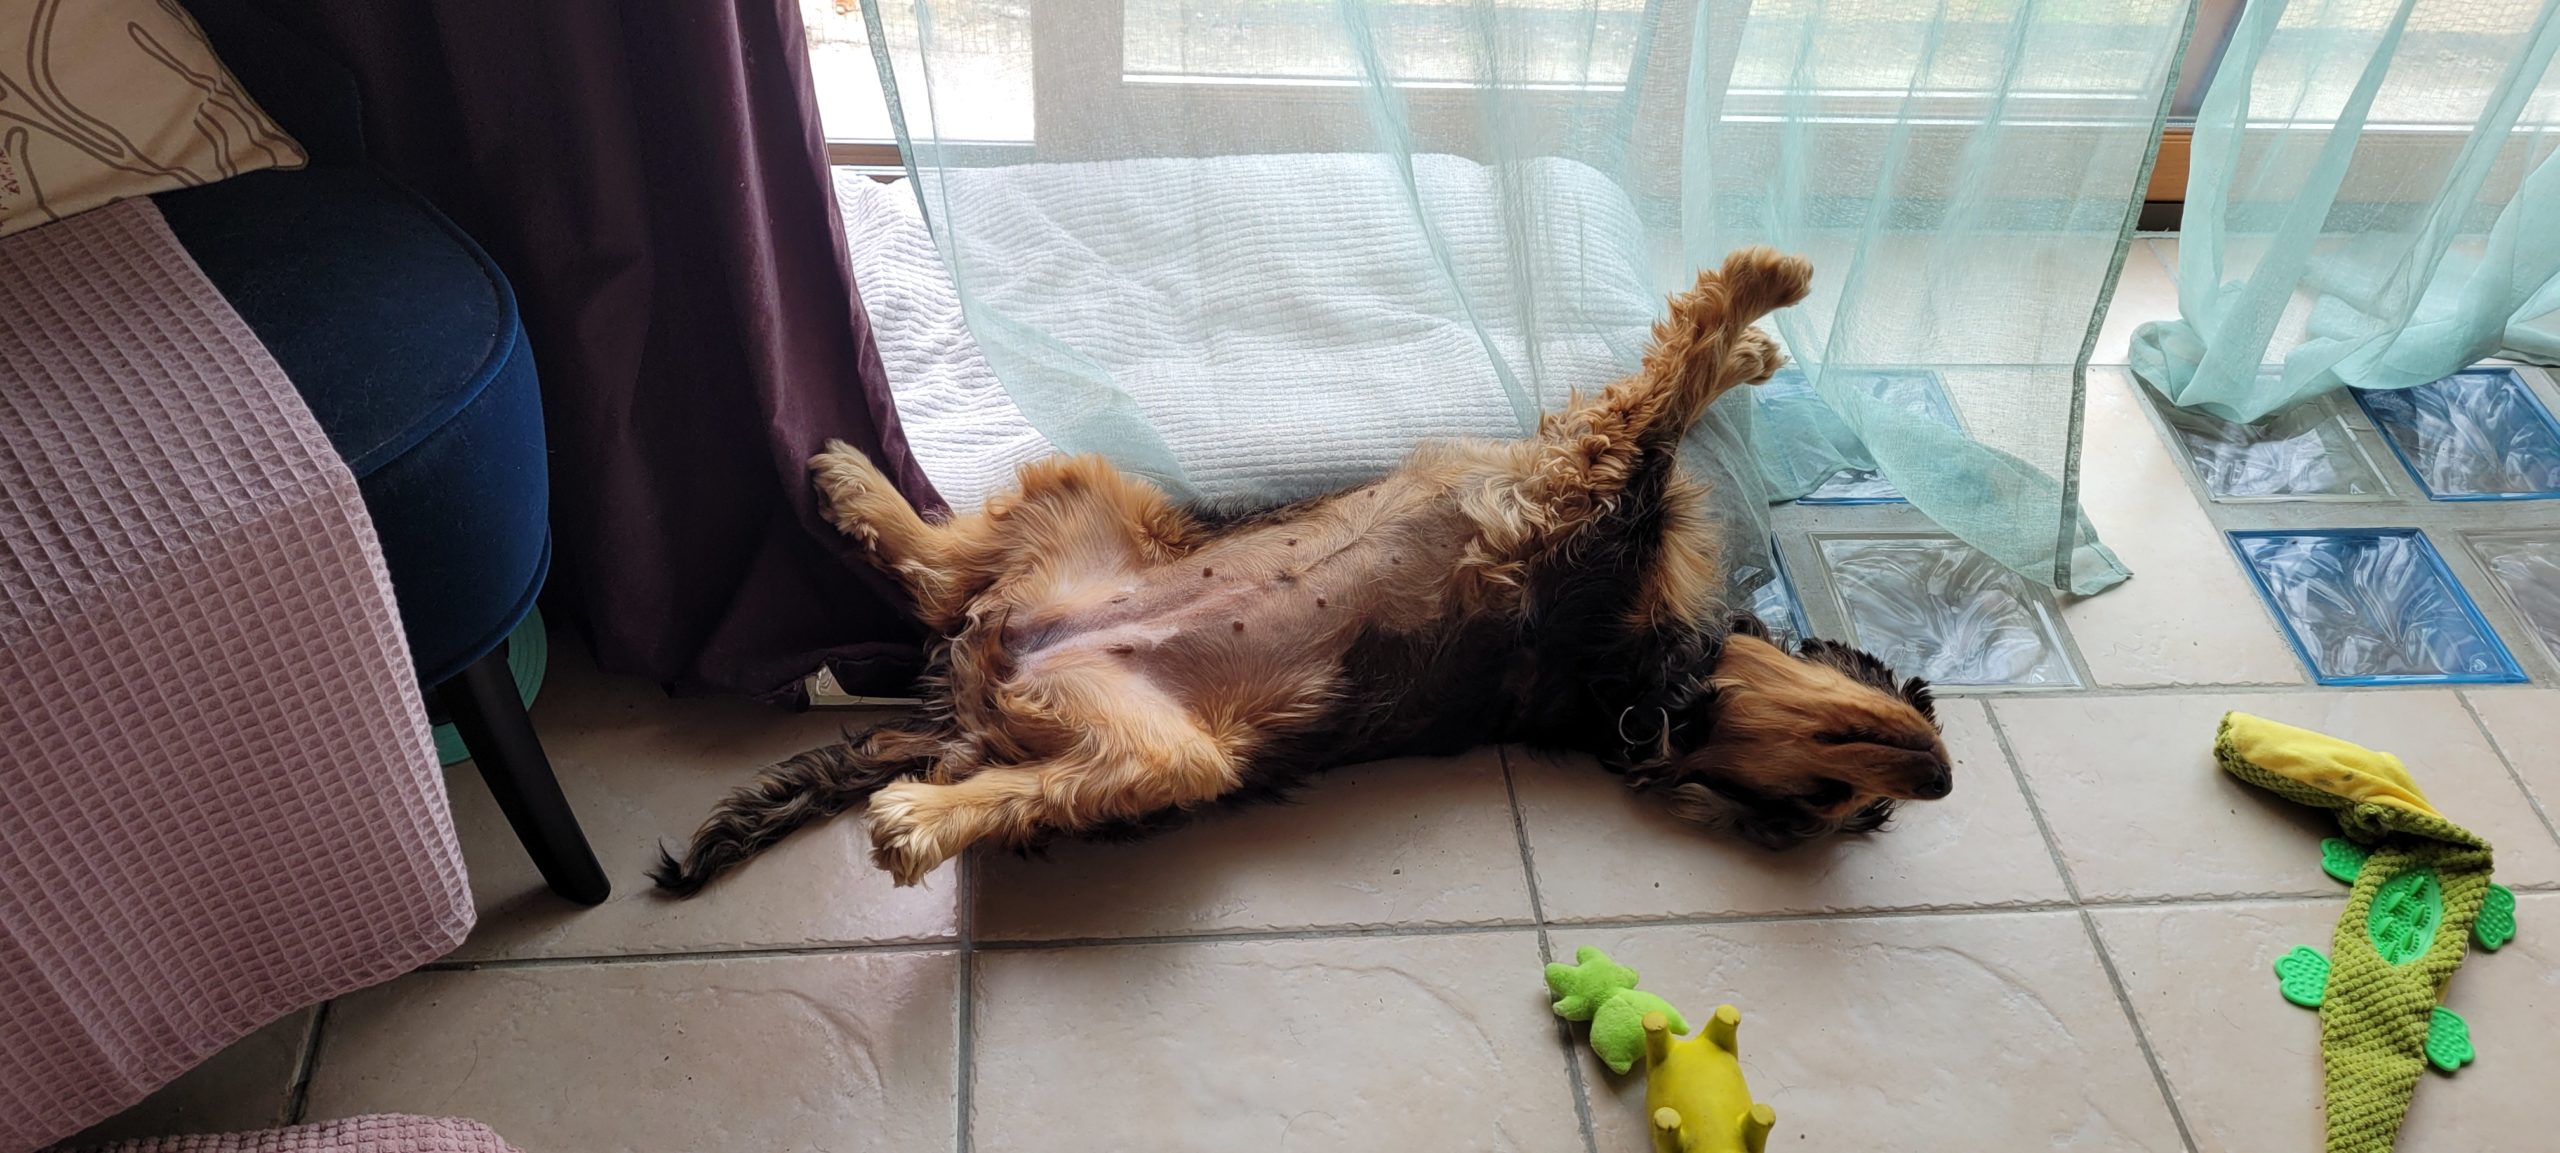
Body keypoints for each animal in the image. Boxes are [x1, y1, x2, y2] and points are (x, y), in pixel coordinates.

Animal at [650, 243, 1945, 896]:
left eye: (1825, 805)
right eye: (1848, 768)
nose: (1937, 776)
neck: (1645, 692)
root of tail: (967, 697)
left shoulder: (1587, 505)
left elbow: (1661, 397)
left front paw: (1758, 295)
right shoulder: (1590, 496)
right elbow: (1677, 383)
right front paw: (1763, 322)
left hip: (1166, 755)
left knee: (1014, 759)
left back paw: (917, 819)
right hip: (1089, 498)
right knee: (938, 571)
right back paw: (848, 476)